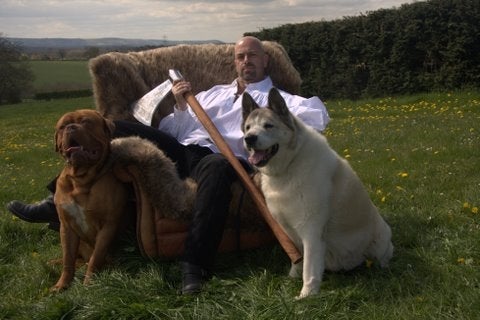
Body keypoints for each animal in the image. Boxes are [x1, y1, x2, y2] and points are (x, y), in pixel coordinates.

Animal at [51, 109, 130, 292]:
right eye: (63, 126)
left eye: (86, 122)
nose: (71, 127)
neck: (81, 179)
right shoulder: (66, 227)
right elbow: (68, 259)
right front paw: (62, 284)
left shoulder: (108, 225)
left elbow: (96, 258)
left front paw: (89, 283)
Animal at [242, 89, 392, 298]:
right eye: (247, 128)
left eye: (268, 126)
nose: (249, 139)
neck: (290, 165)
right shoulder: (287, 228)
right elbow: (298, 258)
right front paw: (292, 278)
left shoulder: (311, 230)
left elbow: (309, 268)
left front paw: (306, 296)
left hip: (380, 241)